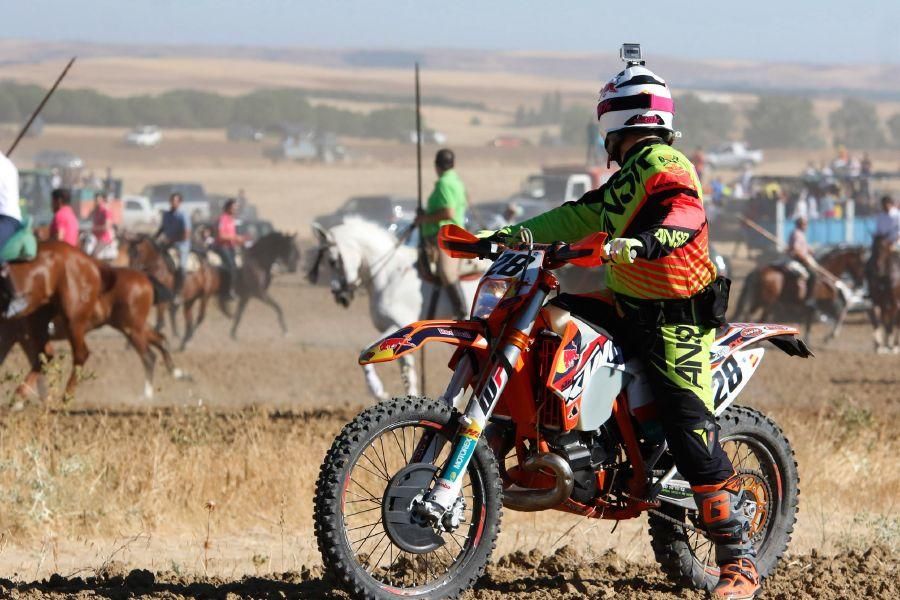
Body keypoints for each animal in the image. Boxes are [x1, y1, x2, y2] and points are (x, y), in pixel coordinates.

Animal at [0, 241, 185, 400]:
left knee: (146, 356)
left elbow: (41, 359)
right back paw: (177, 373)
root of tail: (145, 278)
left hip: (122, 327)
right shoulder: (18, 335)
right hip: (131, 326)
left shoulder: (22, 336)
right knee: (160, 340)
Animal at [310, 218, 478, 400]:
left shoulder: (399, 326)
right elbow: (407, 373)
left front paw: (378, 391)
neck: (390, 275)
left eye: (332, 261)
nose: (340, 296)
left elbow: (366, 352)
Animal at [736, 246, 868, 342]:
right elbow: (838, 315)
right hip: (767, 303)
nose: (860, 283)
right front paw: (831, 335)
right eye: (861, 263)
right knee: (760, 318)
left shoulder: (818, 306)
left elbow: (816, 321)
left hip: (759, 301)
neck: (824, 277)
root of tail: (758, 271)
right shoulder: (824, 304)